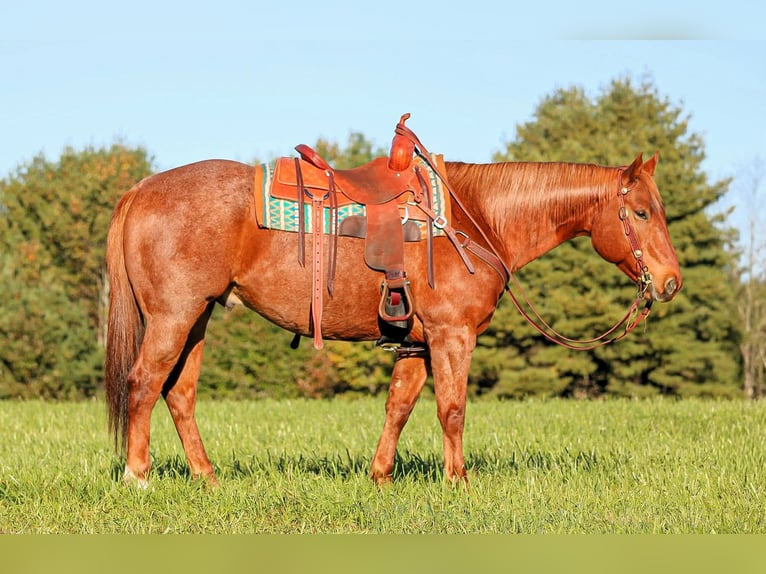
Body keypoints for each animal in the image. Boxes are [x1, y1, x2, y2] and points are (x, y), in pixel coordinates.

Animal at [105, 134, 682, 487]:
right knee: (144, 383)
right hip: (174, 317)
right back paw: (138, 476)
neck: (476, 219)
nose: (671, 282)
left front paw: (380, 476)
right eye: (640, 212)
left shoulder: (416, 344)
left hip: (197, 318)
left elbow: (399, 407)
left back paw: (207, 478)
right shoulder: (452, 336)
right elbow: (452, 408)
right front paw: (458, 482)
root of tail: (141, 189)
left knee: (179, 394)